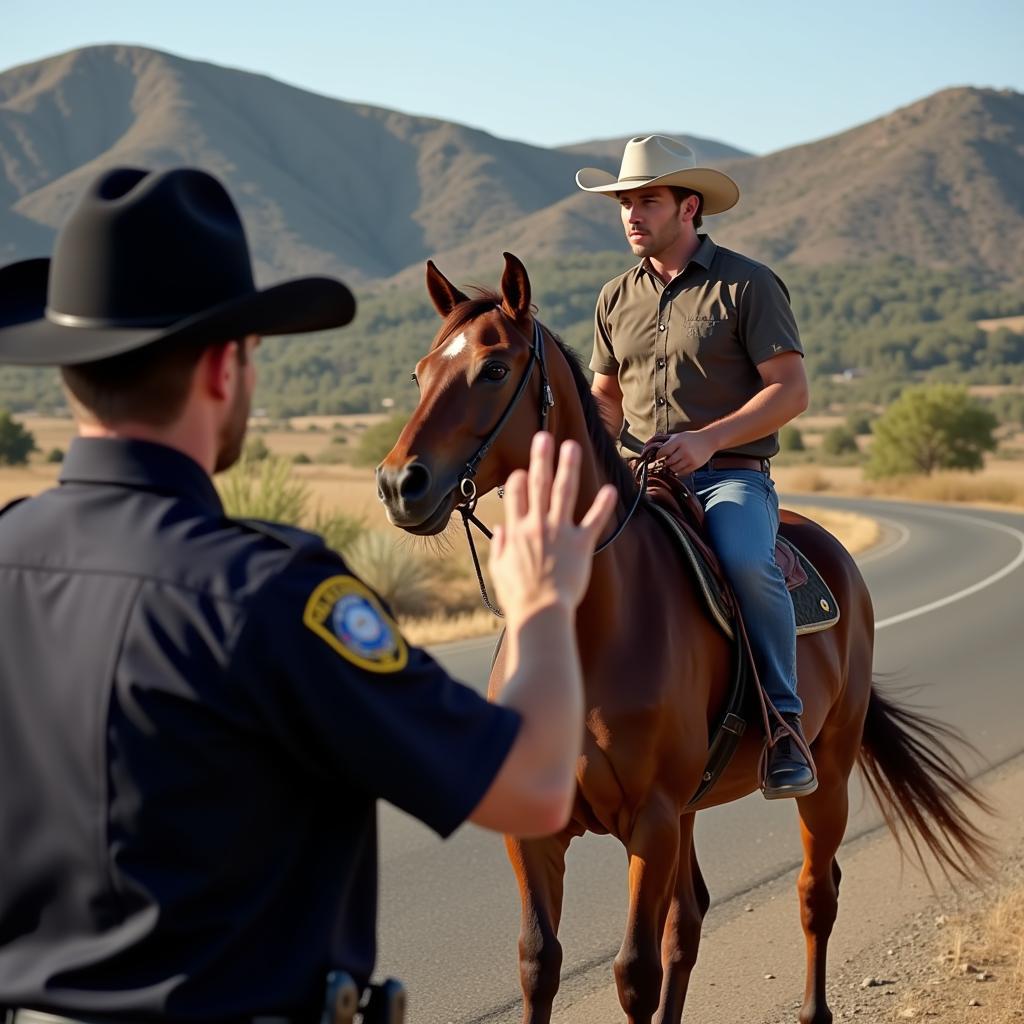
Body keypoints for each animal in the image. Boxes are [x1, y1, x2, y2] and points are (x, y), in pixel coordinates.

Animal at [376, 253, 991, 1024]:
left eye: (492, 368)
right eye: (420, 372)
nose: (399, 483)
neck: (591, 629)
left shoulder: (653, 819)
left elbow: (633, 972)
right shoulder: (540, 830)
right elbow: (539, 963)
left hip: (826, 774)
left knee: (815, 894)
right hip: (699, 807)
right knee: (690, 920)